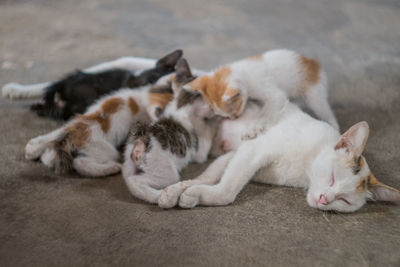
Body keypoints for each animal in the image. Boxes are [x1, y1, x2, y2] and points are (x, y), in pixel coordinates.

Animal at [25, 83, 173, 176]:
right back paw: (111, 168)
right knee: (80, 162)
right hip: (105, 150)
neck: (140, 96)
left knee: (51, 152)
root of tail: (72, 134)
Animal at [121, 58, 217, 204]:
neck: (180, 106)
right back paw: (160, 196)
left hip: (128, 163)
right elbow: (204, 145)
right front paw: (213, 124)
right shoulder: (198, 152)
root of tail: (142, 137)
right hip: (165, 172)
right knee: (136, 181)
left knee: (128, 178)